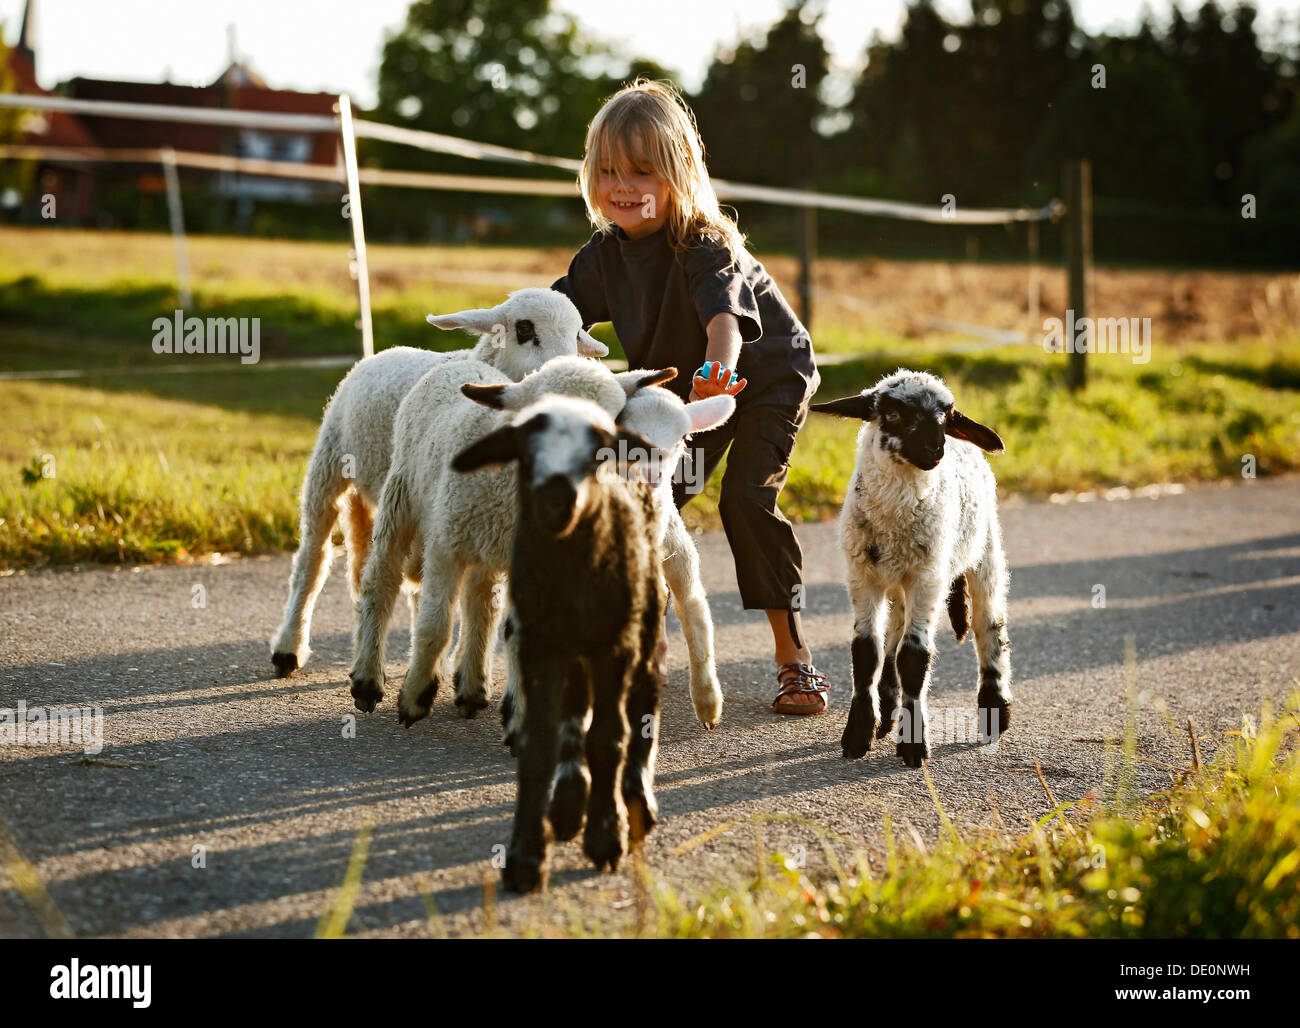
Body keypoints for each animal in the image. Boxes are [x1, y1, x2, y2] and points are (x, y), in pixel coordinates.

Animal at [271, 285, 605, 681]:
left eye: (577, 333)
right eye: (524, 329)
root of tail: (382, 352)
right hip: (331, 465)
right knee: (313, 560)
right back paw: (289, 647)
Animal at [811, 369, 1013, 764]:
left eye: (947, 418)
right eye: (891, 414)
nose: (936, 449)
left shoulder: (927, 580)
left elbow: (914, 657)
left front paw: (914, 745)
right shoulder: (863, 578)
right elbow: (867, 652)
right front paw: (858, 734)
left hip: (984, 552)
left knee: (989, 626)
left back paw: (994, 710)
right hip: (897, 582)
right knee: (893, 636)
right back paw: (888, 710)